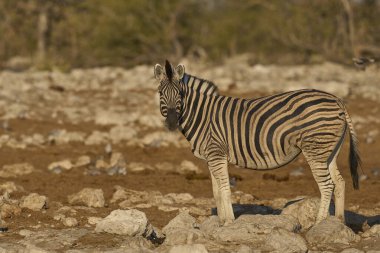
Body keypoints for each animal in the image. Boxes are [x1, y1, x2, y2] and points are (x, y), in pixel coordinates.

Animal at [154, 60, 360, 226]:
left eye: (180, 93)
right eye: (160, 93)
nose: (171, 122)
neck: (203, 116)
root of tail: (337, 100)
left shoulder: (217, 153)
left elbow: (224, 188)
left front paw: (228, 221)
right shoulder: (210, 157)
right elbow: (215, 191)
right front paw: (220, 220)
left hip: (315, 149)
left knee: (327, 185)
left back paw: (319, 223)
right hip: (329, 150)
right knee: (339, 182)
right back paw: (338, 222)